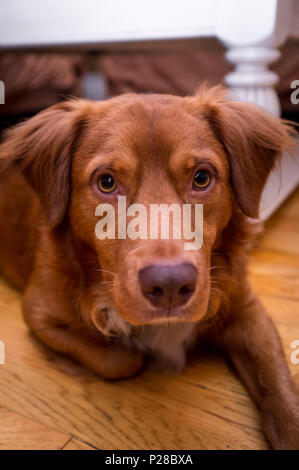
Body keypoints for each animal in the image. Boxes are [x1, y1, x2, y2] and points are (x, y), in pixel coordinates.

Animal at [0, 86, 299, 450]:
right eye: (107, 182)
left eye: (201, 177)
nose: (170, 285)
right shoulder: (38, 312)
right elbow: (120, 359)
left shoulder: (247, 309)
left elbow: (279, 384)